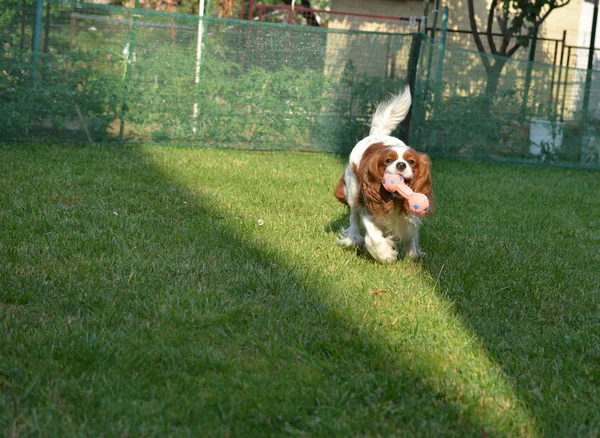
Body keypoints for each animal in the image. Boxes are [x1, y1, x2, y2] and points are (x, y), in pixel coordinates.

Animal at [332, 87, 432, 262]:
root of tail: (377, 134)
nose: (400, 164)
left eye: (411, 162)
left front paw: (412, 255)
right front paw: (386, 254)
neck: (396, 200)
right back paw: (353, 238)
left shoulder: (411, 216)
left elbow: (411, 233)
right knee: (354, 216)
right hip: (353, 191)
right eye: (388, 161)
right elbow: (374, 237)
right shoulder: (370, 211)